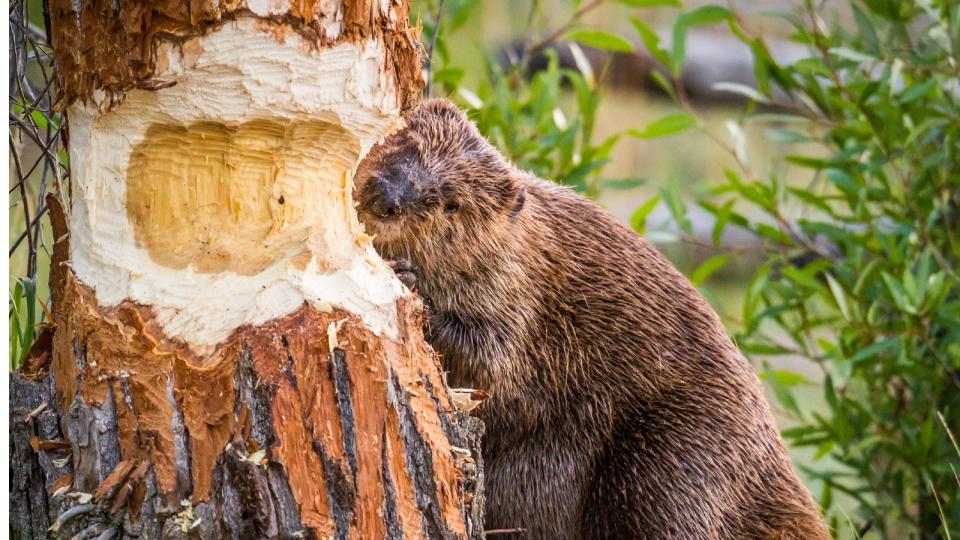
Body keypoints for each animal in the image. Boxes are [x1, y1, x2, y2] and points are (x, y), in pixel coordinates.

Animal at [354, 98, 832, 540]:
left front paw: (410, 281)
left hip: (675, 457)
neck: (525, 242)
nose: (387, 197)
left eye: (452, 204)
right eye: (405, 142)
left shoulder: (519, 292)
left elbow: (494, 363)